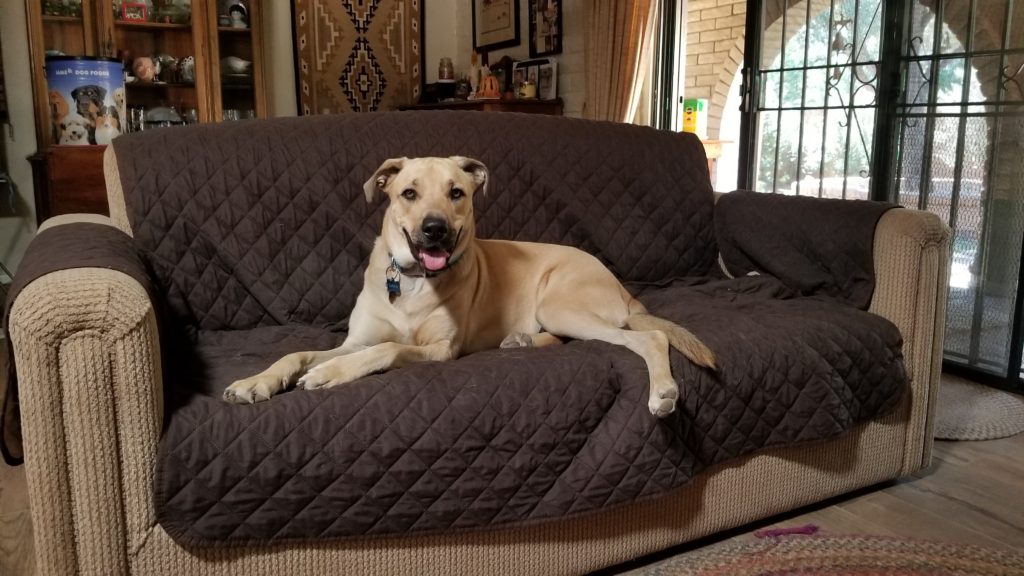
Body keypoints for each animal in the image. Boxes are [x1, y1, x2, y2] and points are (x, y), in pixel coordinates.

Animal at [222, 156, 720, 416]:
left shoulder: (441, 350)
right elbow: (298, 354)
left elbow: (385, 350)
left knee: (650, 338)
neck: (413, 283)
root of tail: (620, 285)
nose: (435, 229)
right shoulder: (354, 340)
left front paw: (328, 375)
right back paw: (521, 340)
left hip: (562, 304)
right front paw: (255, 382)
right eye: (408, 193)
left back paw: (663, 392)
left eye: (456, 192)